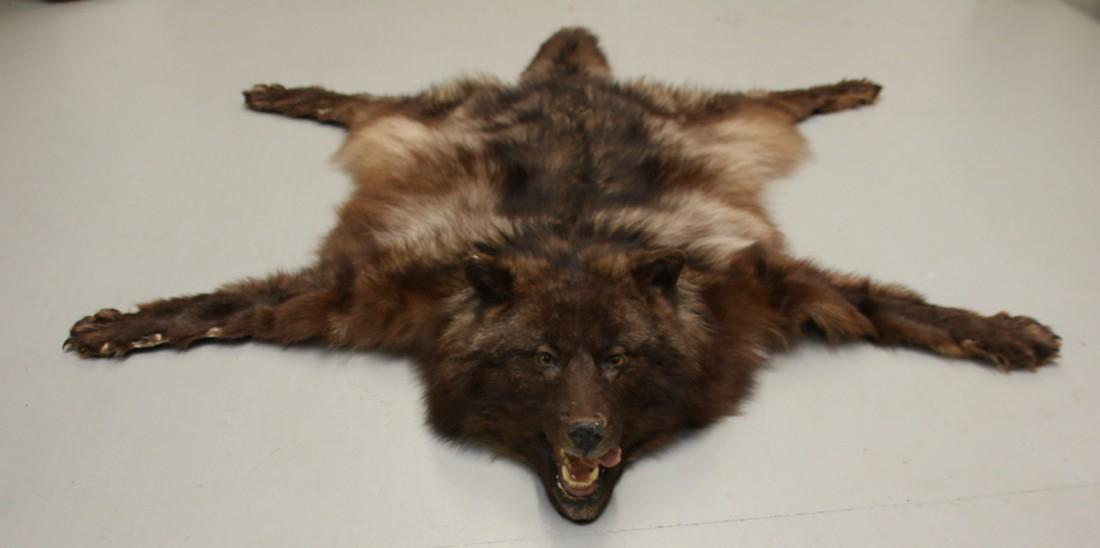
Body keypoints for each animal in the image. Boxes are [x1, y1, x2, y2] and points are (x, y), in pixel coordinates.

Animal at [64, 28, 1060, 522]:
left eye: (618, 359)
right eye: (541, 359)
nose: (584, 433)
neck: (576, 245)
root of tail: (570, 79)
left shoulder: (757, 282)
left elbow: (901, 306)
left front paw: (1005, 332)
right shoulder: (386, 285)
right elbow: (227, 303)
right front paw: (122, 327)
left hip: (707, 119)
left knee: (769, 100)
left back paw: (843, 87)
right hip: (436, 115)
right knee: (368, 105)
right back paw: (291, 95)